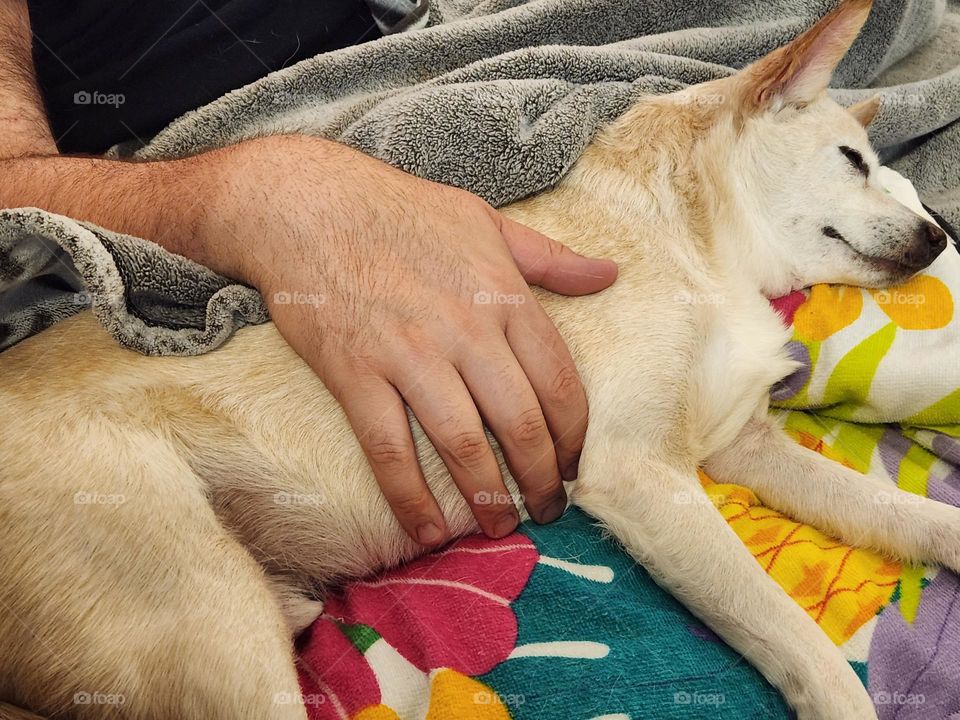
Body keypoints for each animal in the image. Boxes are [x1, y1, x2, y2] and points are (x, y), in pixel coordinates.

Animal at [0, 2, 956, 716]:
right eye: (853, 160)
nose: (938, 236)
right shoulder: (642, 474)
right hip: (216, 623)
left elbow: (895, 512)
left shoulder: (740, 448)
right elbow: (800, 641)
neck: (702, 250)